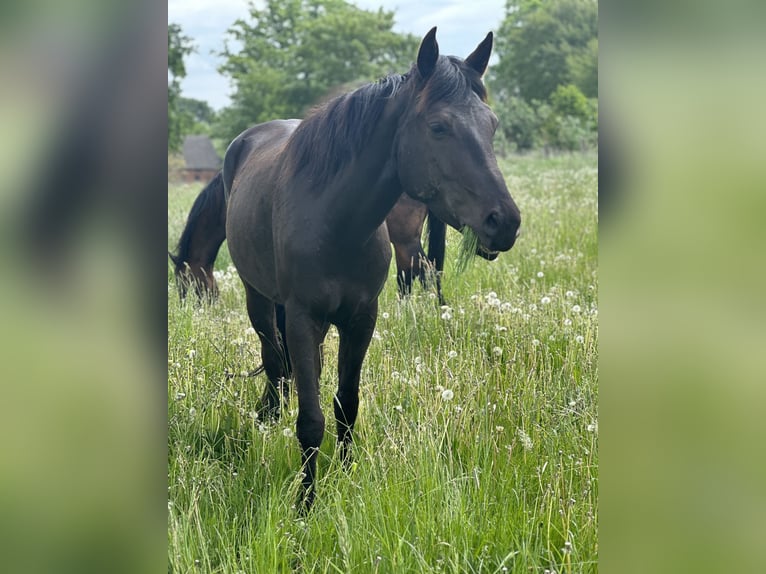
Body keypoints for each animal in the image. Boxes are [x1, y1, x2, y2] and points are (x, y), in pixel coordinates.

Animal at [216, 28, 521, 510]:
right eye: (438, 126)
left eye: (490, 125)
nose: (504, 222)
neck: (335, 221)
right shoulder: (303, 317)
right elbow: (311, 418)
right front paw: (305, 503)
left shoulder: (361, 318)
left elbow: (346, 404)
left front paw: (347, 477)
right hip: (258, 297)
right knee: (273, 357)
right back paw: (267, 415)